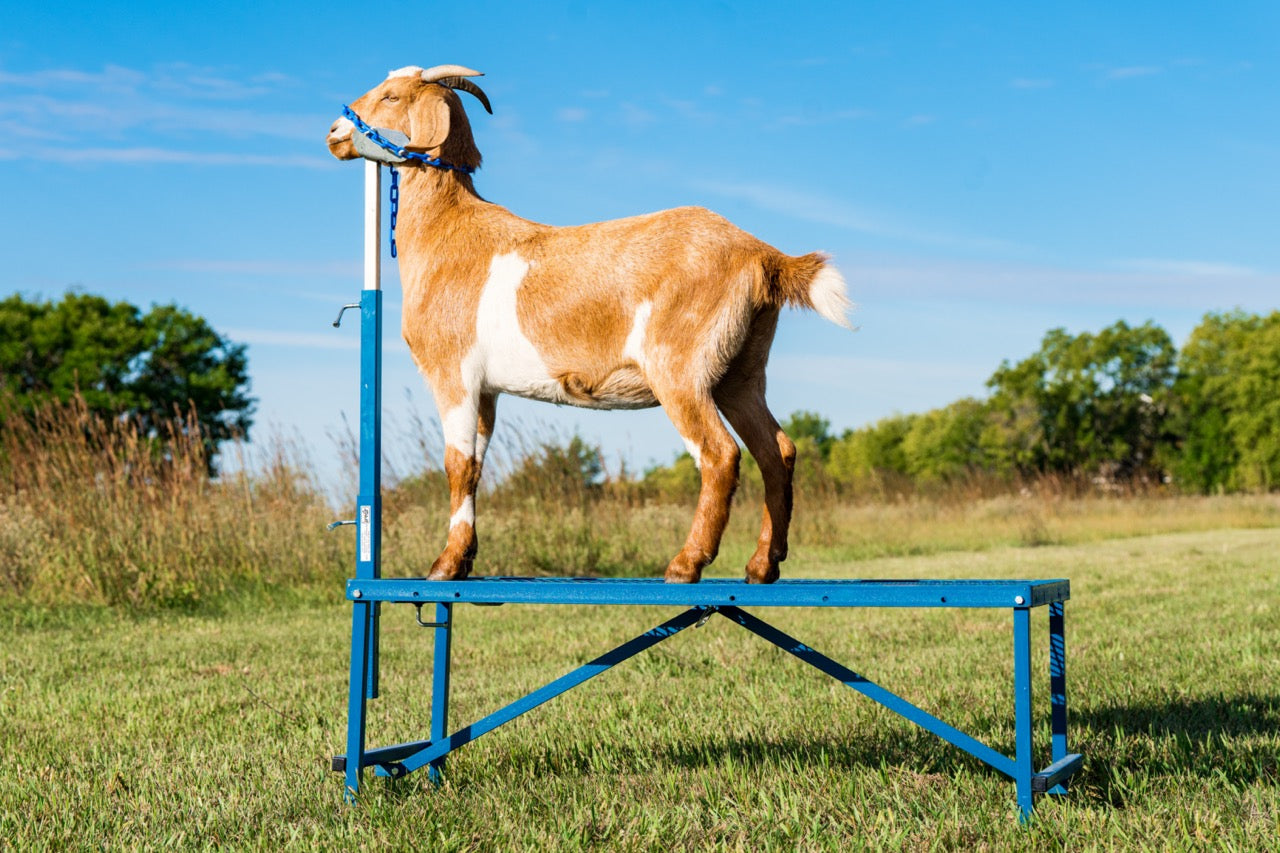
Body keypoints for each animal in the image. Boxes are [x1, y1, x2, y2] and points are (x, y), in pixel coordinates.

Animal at [327, 64, 852, 584]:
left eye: (391, 96)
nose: (334, 133)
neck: (448, 232)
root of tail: (761, 254)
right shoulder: (487, 388)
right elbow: (475, 465)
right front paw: (465, 558)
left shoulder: (451, 371)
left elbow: (456, 464)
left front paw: (444, 565)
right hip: (740, 370)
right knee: (777, 450)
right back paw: (763, 564)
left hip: (680, 368)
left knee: (720, 454)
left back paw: (686, 564)